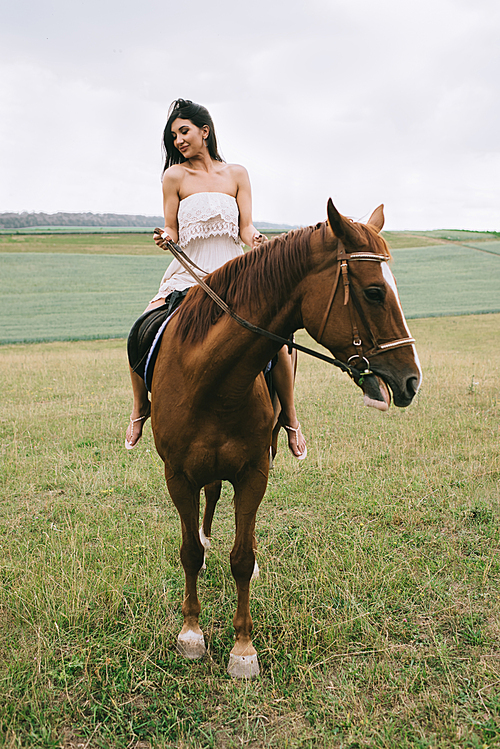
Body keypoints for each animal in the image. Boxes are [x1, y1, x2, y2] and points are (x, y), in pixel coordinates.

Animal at [150, 199, 420, 676]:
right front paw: (191, 633)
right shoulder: (177, 475)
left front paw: (242, 648)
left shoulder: (255, 470)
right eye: (373, 292)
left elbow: (241, 558)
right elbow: (189, 553)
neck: (210, 382)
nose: (412, 379)